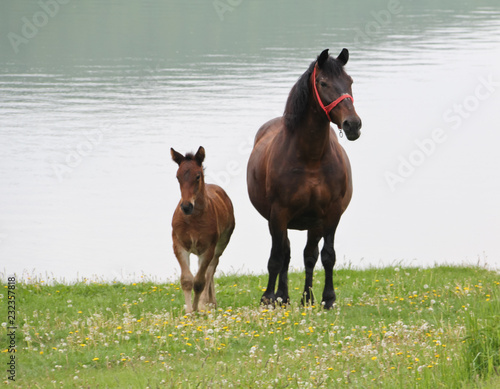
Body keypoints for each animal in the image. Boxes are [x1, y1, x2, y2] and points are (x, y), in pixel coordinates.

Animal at [171, 146, 235, 312]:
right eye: (177, 177)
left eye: (198, 176)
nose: (186, 206)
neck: (193, 220)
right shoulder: (179, 245)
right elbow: (187, 280)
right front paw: (189, 312)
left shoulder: (208, 248)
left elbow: (199, 281)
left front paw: (197, 308)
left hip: (221, 244)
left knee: (211, 269)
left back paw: (208, 302)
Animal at [248, 49, 362, 310]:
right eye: (323, 83)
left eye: (350, 81)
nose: (353, 124)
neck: (311, 159)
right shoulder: (279, 213)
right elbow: (276, 258)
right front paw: (268, 298)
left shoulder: (330, 214)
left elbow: (327, 256)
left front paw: (328, 298)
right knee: (285, 254)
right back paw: (282, 296)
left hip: (313, 223)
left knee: (308, 255)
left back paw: (305, 298)